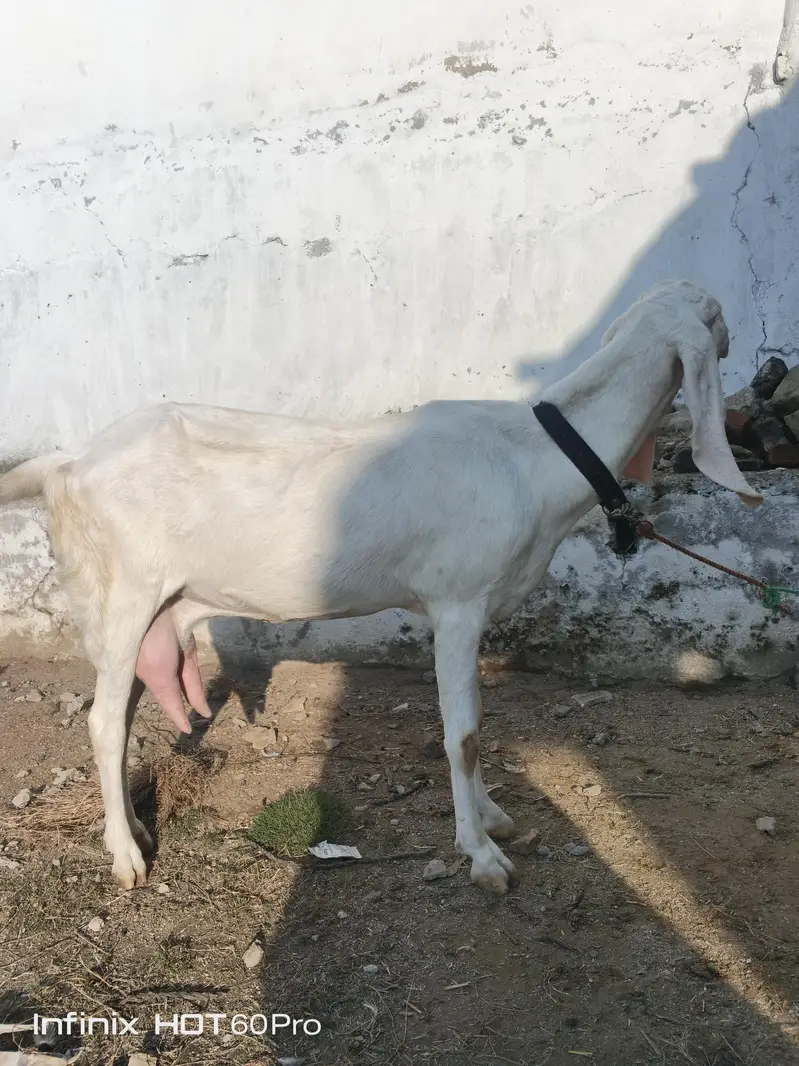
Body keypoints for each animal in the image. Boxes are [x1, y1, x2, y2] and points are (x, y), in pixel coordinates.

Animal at [0, 280, 762, 895]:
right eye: (716, 315)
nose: (736, 334)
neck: (533, 456)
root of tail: (71, 460)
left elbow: (474, 727)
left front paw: (493, 818)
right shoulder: (458, 605)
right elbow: (464, 734)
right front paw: (481, 855)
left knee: (125, 713)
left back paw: (131, 828)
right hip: (123, 593)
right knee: (103, 721)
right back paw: (127, 857)